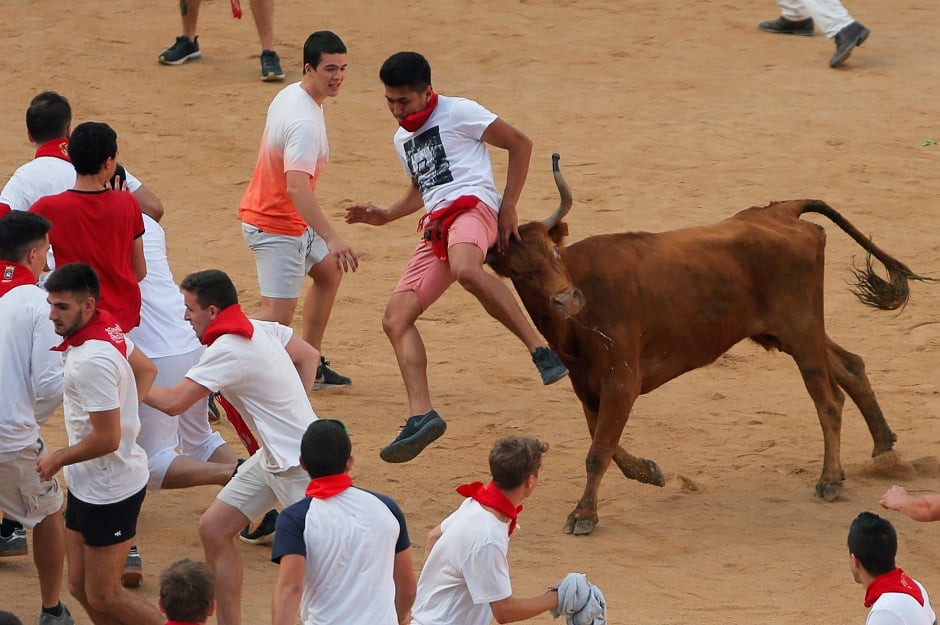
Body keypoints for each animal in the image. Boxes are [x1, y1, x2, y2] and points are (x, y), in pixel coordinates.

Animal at [484, 154, 932, 532]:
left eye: (554, 253)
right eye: (519, 272)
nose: (567, 300)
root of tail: (780, 210)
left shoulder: (621, 381)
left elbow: (598, 452)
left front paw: (583, 515)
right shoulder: (588, 387)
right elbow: (606, 445)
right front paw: (649, 471)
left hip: (800, 328)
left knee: (828, 399)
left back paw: (830, 479)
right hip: (790, 331)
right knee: (850, 364)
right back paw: (883, 448)